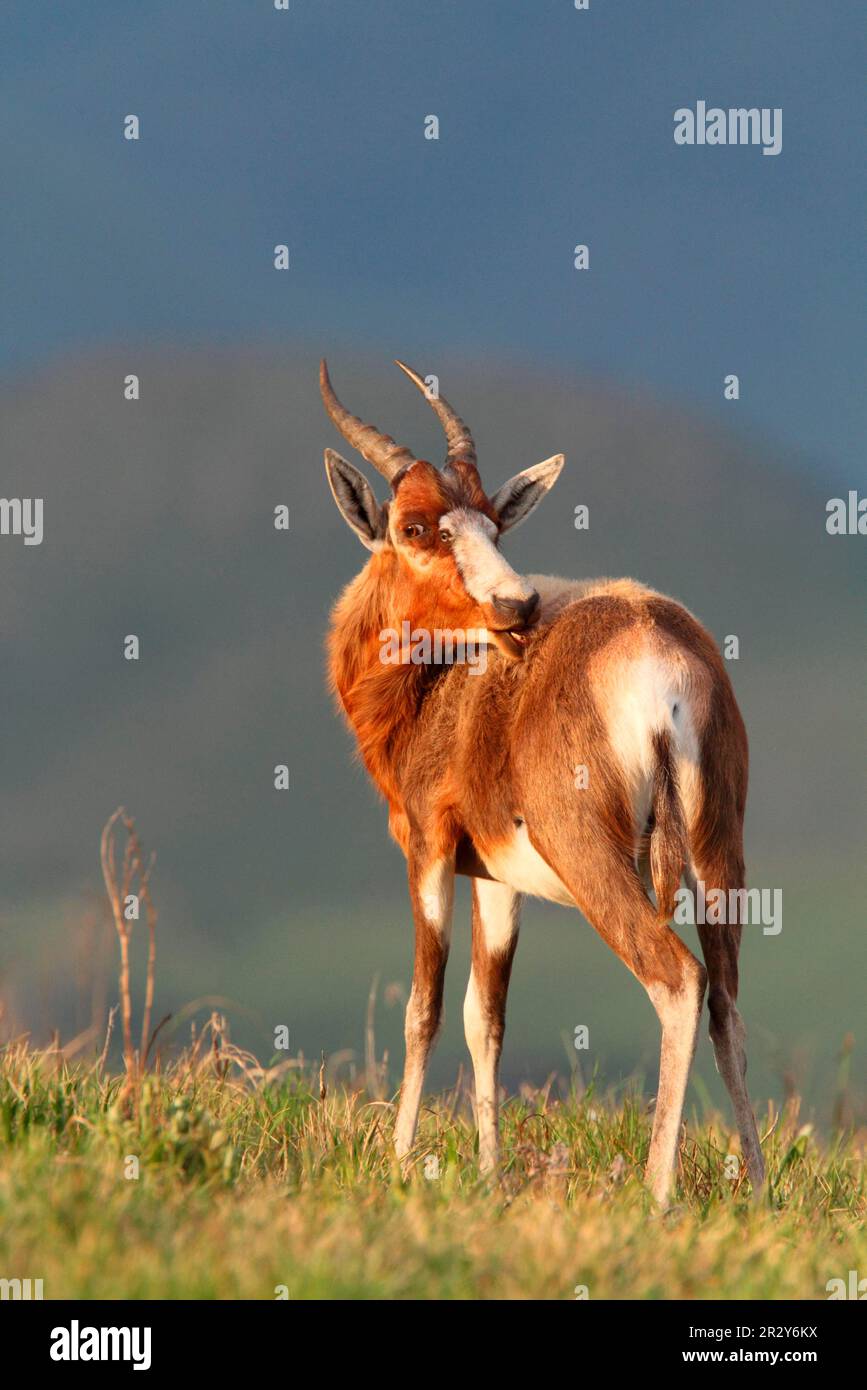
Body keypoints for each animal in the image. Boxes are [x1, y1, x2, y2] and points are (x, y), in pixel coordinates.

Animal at [323, 361, 766, 1206]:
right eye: (417, 526)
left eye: (492, 523)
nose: (517, 606)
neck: (443, 682)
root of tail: (659, 655)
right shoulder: (499, 877)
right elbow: (485, 1015)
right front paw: (490, 1174)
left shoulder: (429, 850)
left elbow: (425, 1007)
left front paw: (397, 1163)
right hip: (717, 852)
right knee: (728, 998)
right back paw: (758, 1187)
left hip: (593, 859)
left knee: (677, 980)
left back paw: (655, 1194)